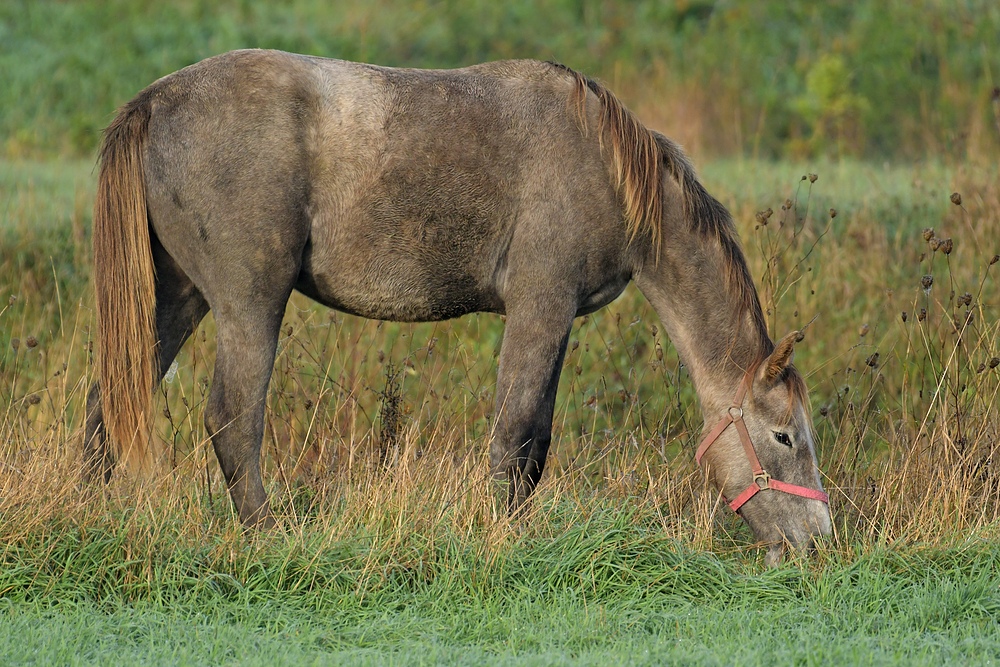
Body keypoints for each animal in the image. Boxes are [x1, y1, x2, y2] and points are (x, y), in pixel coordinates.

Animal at [86, 49, 832, 568]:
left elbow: (535, 443)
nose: (818, 544)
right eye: (784, 437)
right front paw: (501, 540)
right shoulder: (540, 306)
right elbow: (514, 435)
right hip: (249, 304)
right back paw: (270, 535)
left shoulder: (554, 321)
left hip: (178, 297)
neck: (605, 167)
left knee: (109, 402)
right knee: (232, 418)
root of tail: (153, 103)